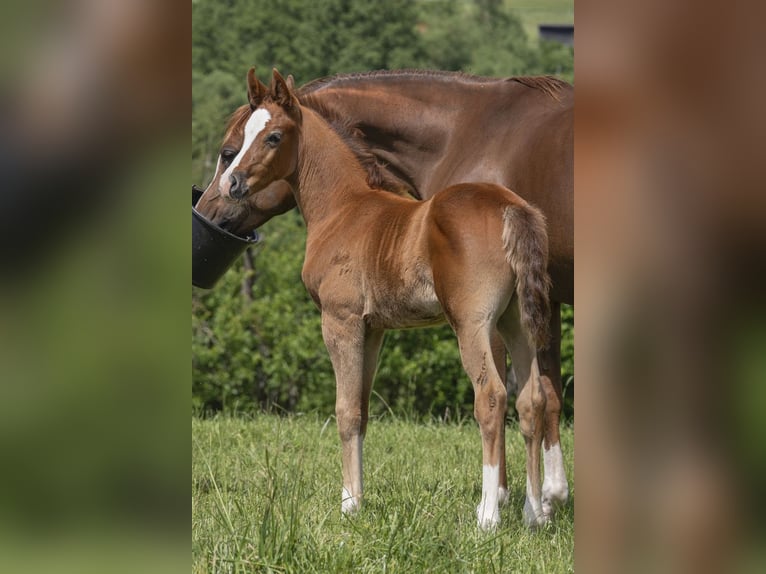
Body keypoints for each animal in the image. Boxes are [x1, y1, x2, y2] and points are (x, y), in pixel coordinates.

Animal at [195, 68, 572, 520]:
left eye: (272, 137)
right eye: (237, 142)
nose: (229, 187)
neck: (345, 207)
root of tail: (510, 208)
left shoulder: (339, 320)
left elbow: (344, 410)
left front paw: (347, 506)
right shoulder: (373, 328)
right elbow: (362, 408)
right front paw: (356, 498)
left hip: (473, 323)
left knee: (493, 397)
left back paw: (487, 517)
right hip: (517, 319)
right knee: (532, 399)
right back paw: (535, 515)